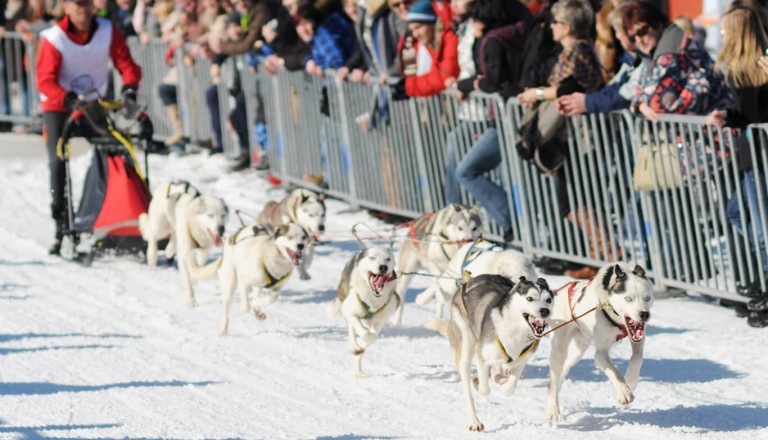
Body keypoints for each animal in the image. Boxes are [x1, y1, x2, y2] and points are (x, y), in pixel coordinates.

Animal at [140, 180, 228, 308]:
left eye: (222, 215)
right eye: (210, 215)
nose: (221, 229)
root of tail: (171, 181)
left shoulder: (204, 250)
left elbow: (198, 265)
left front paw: (194, 278)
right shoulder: (184, 254)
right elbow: (187, 279)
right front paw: (191, 300)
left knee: (173, 238)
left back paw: (170, 249)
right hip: (160, 227)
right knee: (152, 235)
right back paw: (152, 255)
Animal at [328, 248, 402, 378]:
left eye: (388, 259)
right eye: (372, 257)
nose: (383, 267)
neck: (373, 300)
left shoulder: (382, 319)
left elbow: (372, 337)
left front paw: (365, 343)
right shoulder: (351, 312)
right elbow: (363, 331)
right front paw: (360, 342)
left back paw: (359, 371)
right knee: (351, 331)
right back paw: (354, 346)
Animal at [444, 276, 552, 432]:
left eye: (548, 299)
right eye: (529, 298)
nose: (545, 311)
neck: (516, 330)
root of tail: (469, 281)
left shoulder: (521, 360)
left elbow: (509, 389)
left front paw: (504, 383)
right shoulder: (482, 356)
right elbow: (484, 389)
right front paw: (478, 382)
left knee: (498, 370)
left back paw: (500, 377)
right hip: (465, 345)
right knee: (468, 390)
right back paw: (475, 421)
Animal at [544, 262, 656, 422]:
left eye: (647, 298)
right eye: (628, 299)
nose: (644, 314)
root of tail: (559, 292)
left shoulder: (638, 338)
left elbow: (637, 358)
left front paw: (631, 381)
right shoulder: (601, 352)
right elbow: (614, 372)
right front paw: (624, 392)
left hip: (578, 350)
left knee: (561, 374)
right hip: (559, 351)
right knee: (553, 381)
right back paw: (554, 411)